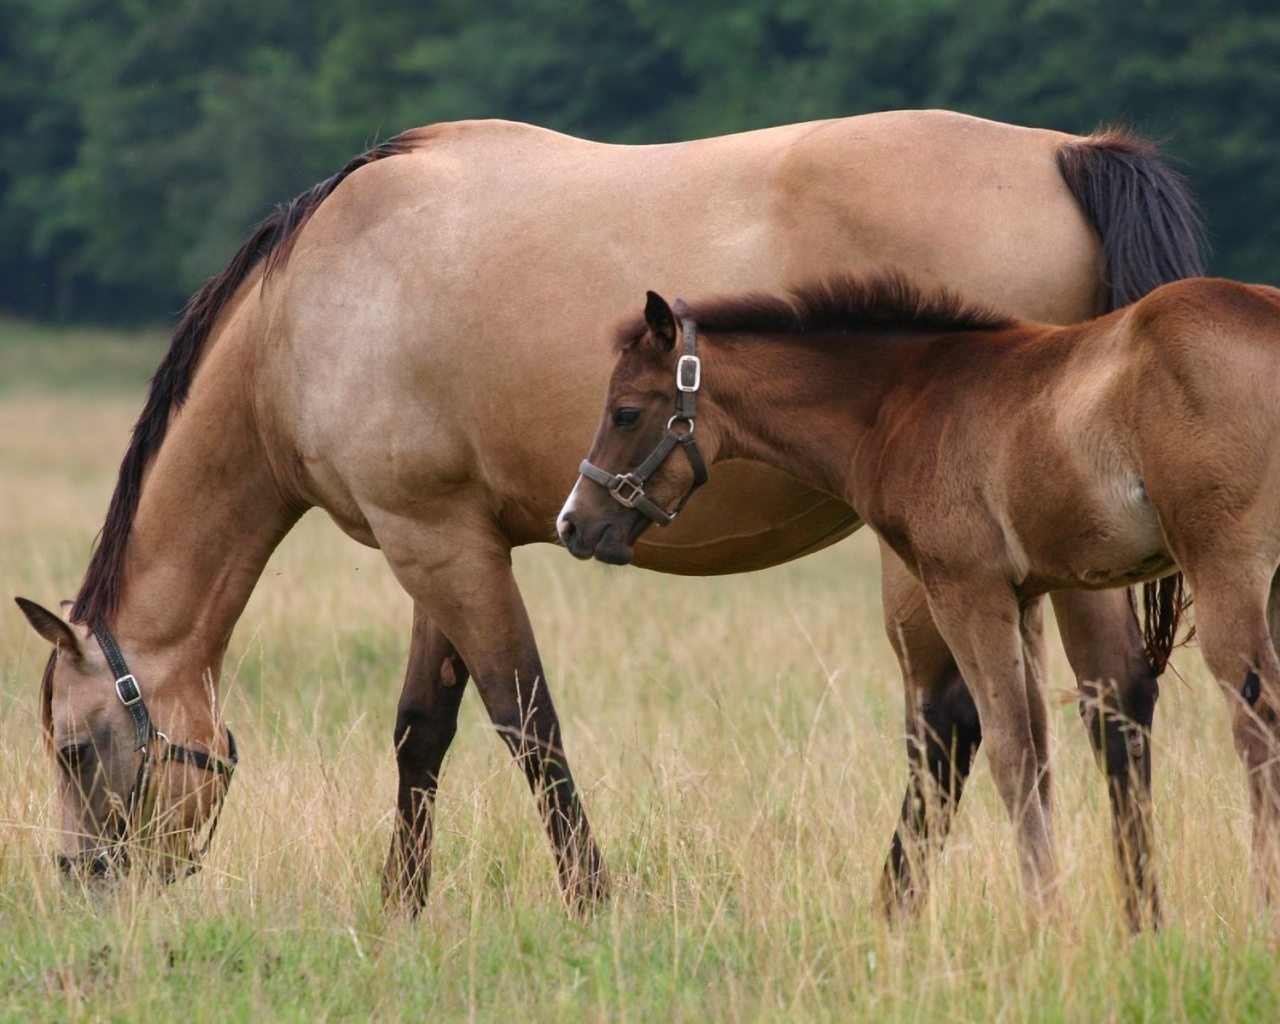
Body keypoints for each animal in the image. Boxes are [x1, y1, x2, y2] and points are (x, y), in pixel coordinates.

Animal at [17, 108, 1198, 921]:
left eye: (74, 750)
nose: (83, 883)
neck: (307, 308)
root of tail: (1067, 153)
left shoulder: (434, 543)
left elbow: (524, 722)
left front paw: (591, 899)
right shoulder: (443, 540)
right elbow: (422, 728)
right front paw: (401, 906)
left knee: (955, 725)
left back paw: (898, 910)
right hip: (1059, 555)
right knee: (1110, 704)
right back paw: (1133, 912)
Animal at [563, 276, 1280, 916]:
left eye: (626, 411)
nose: (574, 523)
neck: (897, 400)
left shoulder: (963, 587)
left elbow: (1010, 750)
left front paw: (1045, 923)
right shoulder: (1023, 597)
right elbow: (1039, 752)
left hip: (1225, 564)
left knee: (1257, 720)